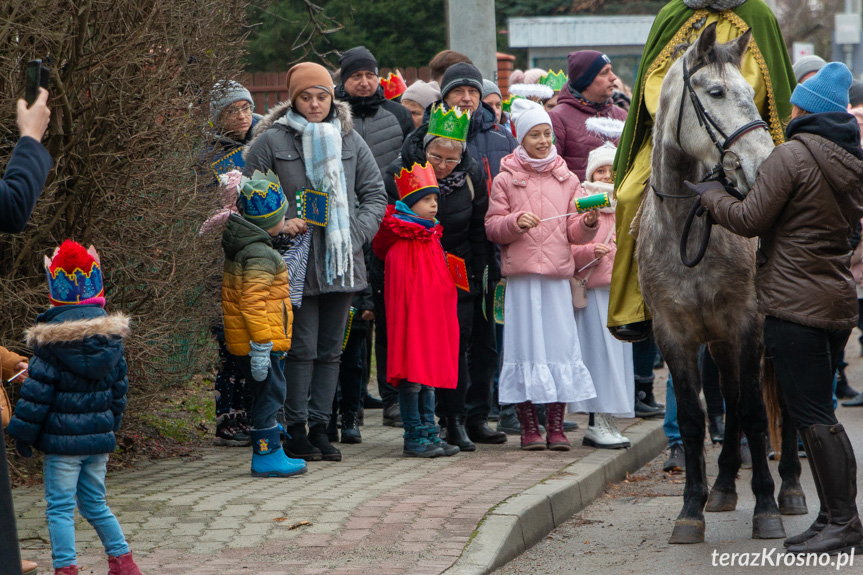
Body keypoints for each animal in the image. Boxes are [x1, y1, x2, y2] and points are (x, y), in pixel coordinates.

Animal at [636, 22, 804, 544]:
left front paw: (766, 507)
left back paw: (791, 487)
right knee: (729, 395)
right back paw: (725, 485)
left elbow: (753, 411)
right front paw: (691, 509)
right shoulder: (676, 335)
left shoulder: (747, 324)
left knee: (780, 399)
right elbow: (694, 418)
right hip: (720, 343)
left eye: (752, 92)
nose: (766, 168)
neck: (689, 228)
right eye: (715, 92)